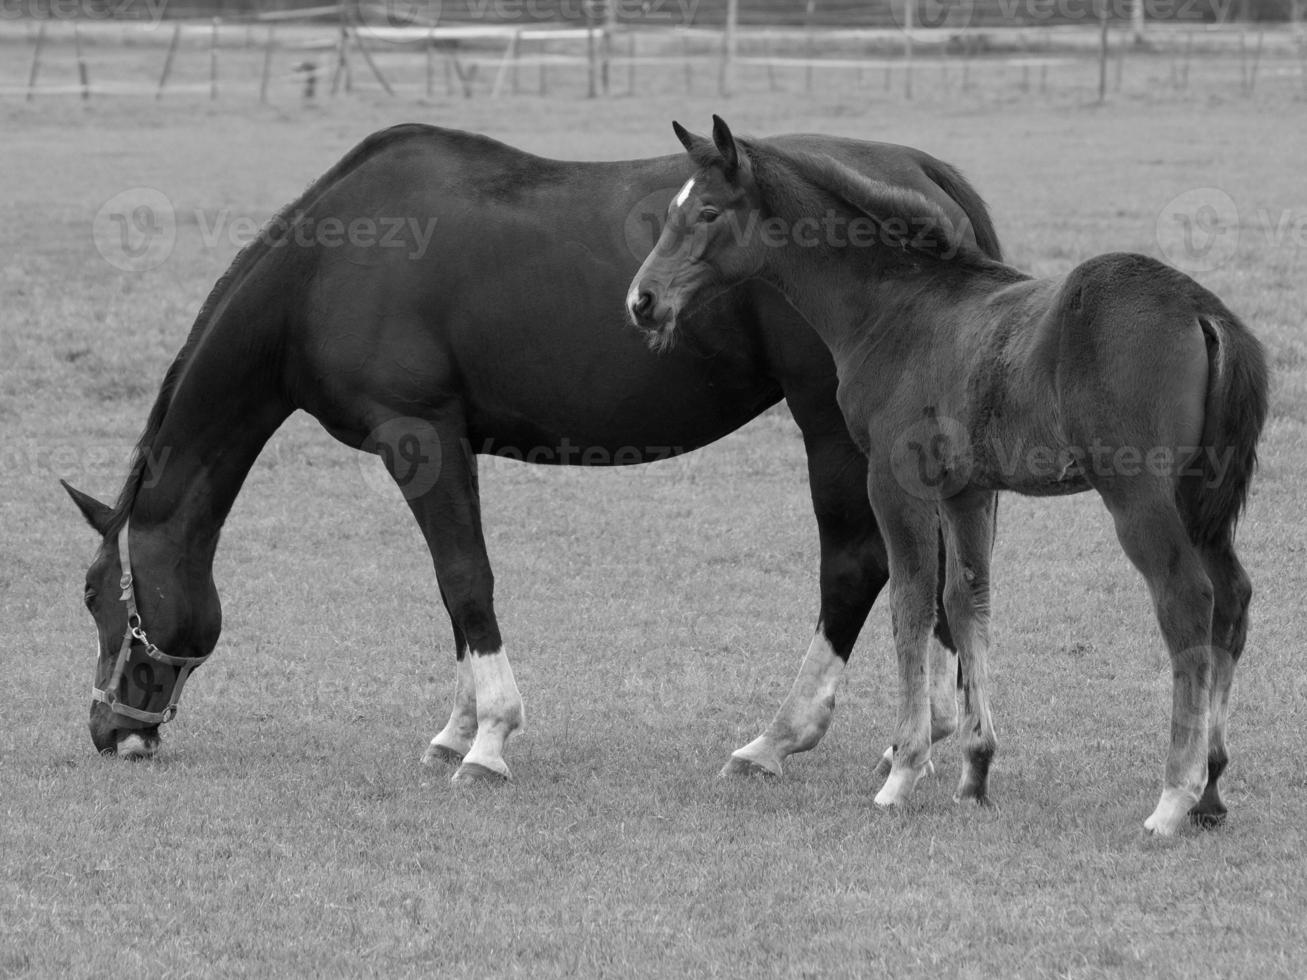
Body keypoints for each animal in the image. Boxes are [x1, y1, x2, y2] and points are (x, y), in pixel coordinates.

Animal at [61, 122, 1003, 783]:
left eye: (101, 599)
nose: (110, 732)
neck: (328, 265)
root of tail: (923, 172)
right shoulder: (443, 447)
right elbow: (454, 590)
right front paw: (454, 730)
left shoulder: (418, 435)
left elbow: (464, 577)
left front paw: (489, 739)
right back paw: (921, 737)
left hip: (830, 431)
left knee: (855, 567)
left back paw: (777, 737)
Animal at [624, 114, 1265, 836]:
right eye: (672, 212)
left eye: (707, 211)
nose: (642, 300)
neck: (898, 306)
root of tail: (1202, 309)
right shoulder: (967, 489)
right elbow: (965, 602)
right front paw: (974, 769)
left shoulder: (893, 479)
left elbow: (909, 602)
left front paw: (901, 770)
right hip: (1199, 499)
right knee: (1232, 597)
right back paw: (1211, 787)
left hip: (1139, 495)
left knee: (1186, 599)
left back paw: (1173, 796)